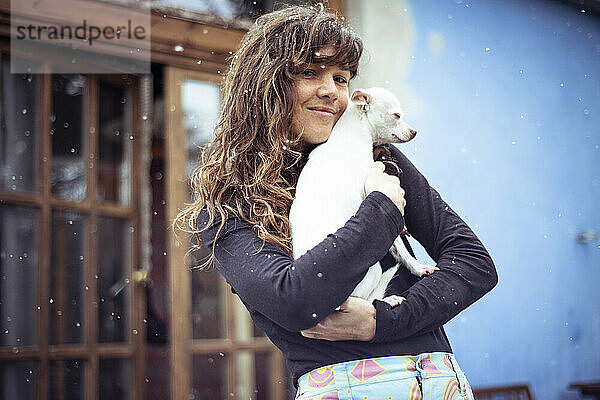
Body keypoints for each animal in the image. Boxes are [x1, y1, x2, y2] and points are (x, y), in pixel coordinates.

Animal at [288, 87, 438, 306]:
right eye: (397, 115)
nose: (414, 132)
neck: (352, 133)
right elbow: (399, 246)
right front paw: (418, 268)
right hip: (373, 270)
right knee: (367, 300)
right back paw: (389, 299)